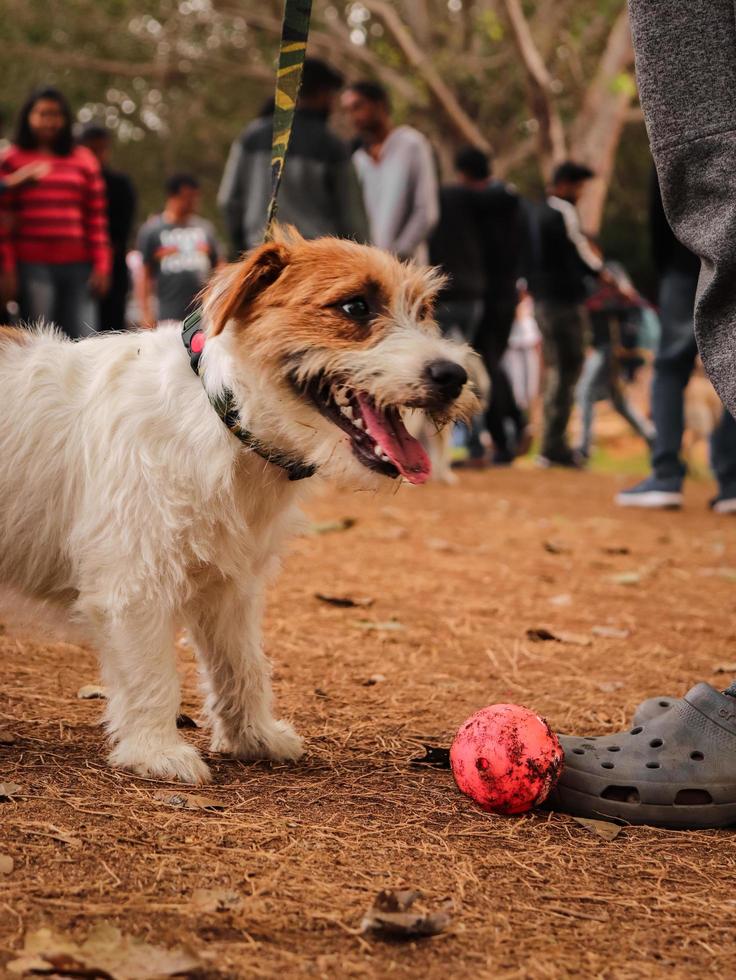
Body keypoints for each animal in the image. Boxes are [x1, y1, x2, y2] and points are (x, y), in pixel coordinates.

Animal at [0, 228, 478, 780]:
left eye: (424, 310)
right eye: (355, 306)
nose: (454, 375)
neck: (222, 416)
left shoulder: (229, 589)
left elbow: (242, 667)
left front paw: (253, 737)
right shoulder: (134, 585)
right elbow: (150, 675)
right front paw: (156, 751)